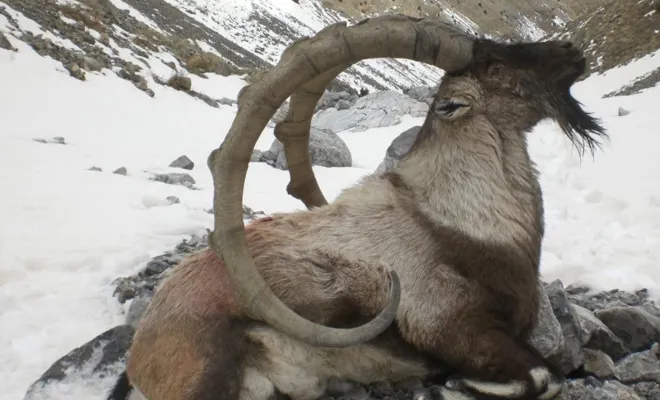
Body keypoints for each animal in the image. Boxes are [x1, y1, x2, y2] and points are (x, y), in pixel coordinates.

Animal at [109, 14, 608, 400]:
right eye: (496, 66)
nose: (571, 50)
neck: (459, 221)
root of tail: (141, 345)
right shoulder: (450, 326)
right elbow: (544, 375)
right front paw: (453, 384)